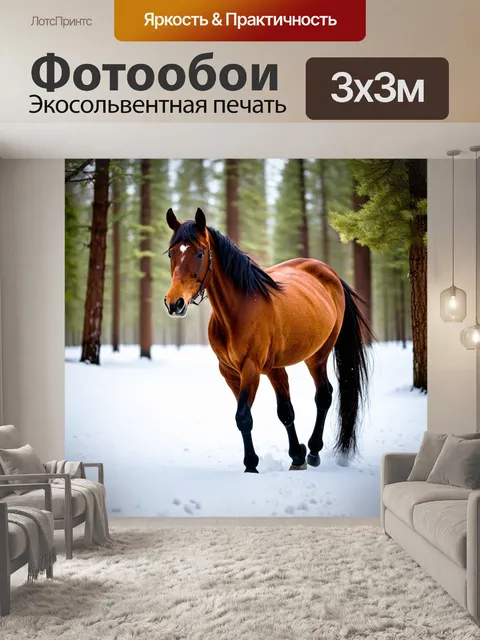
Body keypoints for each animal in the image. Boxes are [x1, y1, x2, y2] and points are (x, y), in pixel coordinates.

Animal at [164, 207, 372, 474]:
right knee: (294, 406)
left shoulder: (251, 368)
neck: (239, 310)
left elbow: (244, 416)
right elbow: (277, 413)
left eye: (200, 253)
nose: (174, 303)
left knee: (324, 396)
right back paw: (303, 453)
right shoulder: (233, 372)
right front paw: (294, 456)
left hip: (317, 356)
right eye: (172, 253)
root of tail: (330, 274)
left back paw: (314, 451)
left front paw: (252, 466)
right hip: (285, 364)